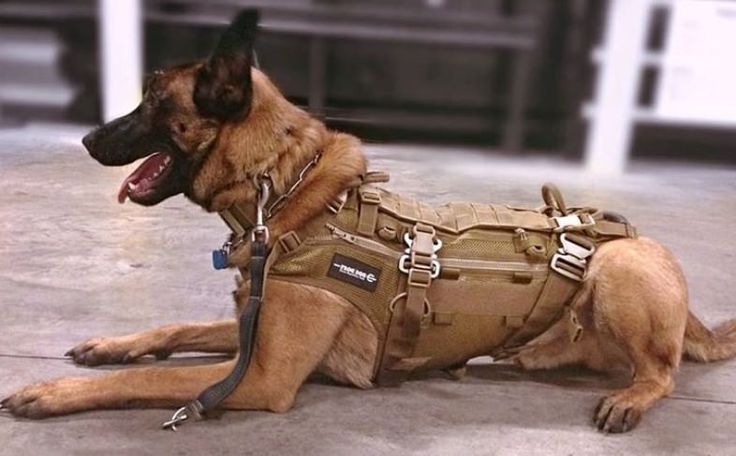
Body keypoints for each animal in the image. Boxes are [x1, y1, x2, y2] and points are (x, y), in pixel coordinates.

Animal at [1, 8, 736, 432]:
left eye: (152, 102)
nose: (87, 137)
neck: (287, 193)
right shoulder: (251, 330)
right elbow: (171, 329)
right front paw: (110, 345)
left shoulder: (260, 375)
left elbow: (146, 380)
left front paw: (53, 392)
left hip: (619, 268)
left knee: (663, 371)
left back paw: (633, 397)